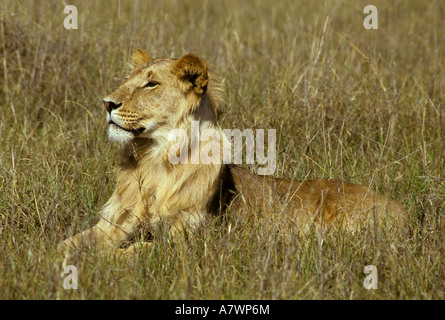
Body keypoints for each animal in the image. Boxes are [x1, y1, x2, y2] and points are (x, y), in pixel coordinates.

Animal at [60, 48, 408, 256]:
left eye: (151, 85)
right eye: (128, 80)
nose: (106, 103)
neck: (153, 161)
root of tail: (402, 209)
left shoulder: (185, 239)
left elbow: (129, 253)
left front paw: (97, 261)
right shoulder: (114, 224)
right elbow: (67, 243)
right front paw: (55, 259)